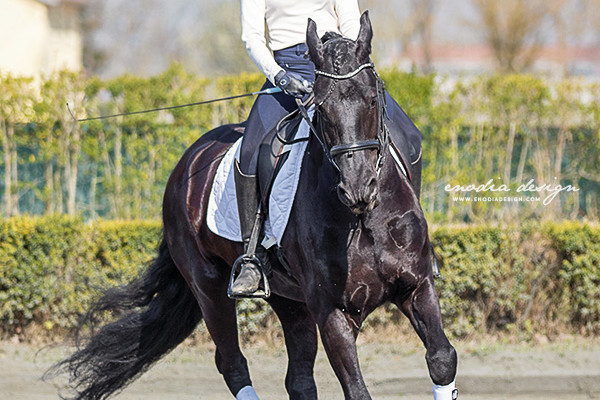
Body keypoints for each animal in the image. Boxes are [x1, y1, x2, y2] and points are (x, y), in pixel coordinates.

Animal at [51, 12, 458, 400]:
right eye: (322, 107)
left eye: (373, 99)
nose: (358, 187)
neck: (363, 220)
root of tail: (187, 162)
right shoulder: (333, 312)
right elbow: (357, 390)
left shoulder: (417, 286)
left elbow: (442, 359)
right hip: (209, 287)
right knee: (232, 362)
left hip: (290, 300)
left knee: (298, 380)